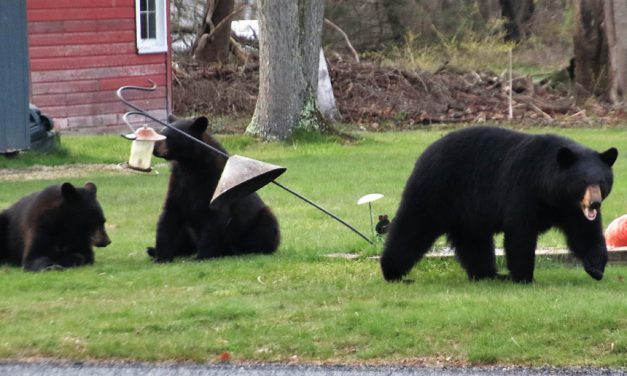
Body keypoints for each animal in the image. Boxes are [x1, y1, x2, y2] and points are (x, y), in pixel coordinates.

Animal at [147, 116, 280, 262]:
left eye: (169, 136)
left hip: (258, 221)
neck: (190, 165)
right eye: (161, 132)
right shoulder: (178, 183)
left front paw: (202, 256)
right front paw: (161, 257)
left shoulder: (216, 183)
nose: (153, 148)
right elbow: (170, 214)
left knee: (266, 228)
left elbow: (215, 218)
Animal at [380, 126, 620, 282]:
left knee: (473, 241)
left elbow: (584, 233)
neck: (551, 192)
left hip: (467, 211)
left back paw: (489, 274)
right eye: (583, 182)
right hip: (436, 189)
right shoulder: (523, 189)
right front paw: (524, 277)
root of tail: (425, 153)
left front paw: (596, 268)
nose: (595, 203)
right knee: (414, 225)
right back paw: (393, 273)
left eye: (602, 182)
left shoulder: (571, 209)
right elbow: (520, 233)